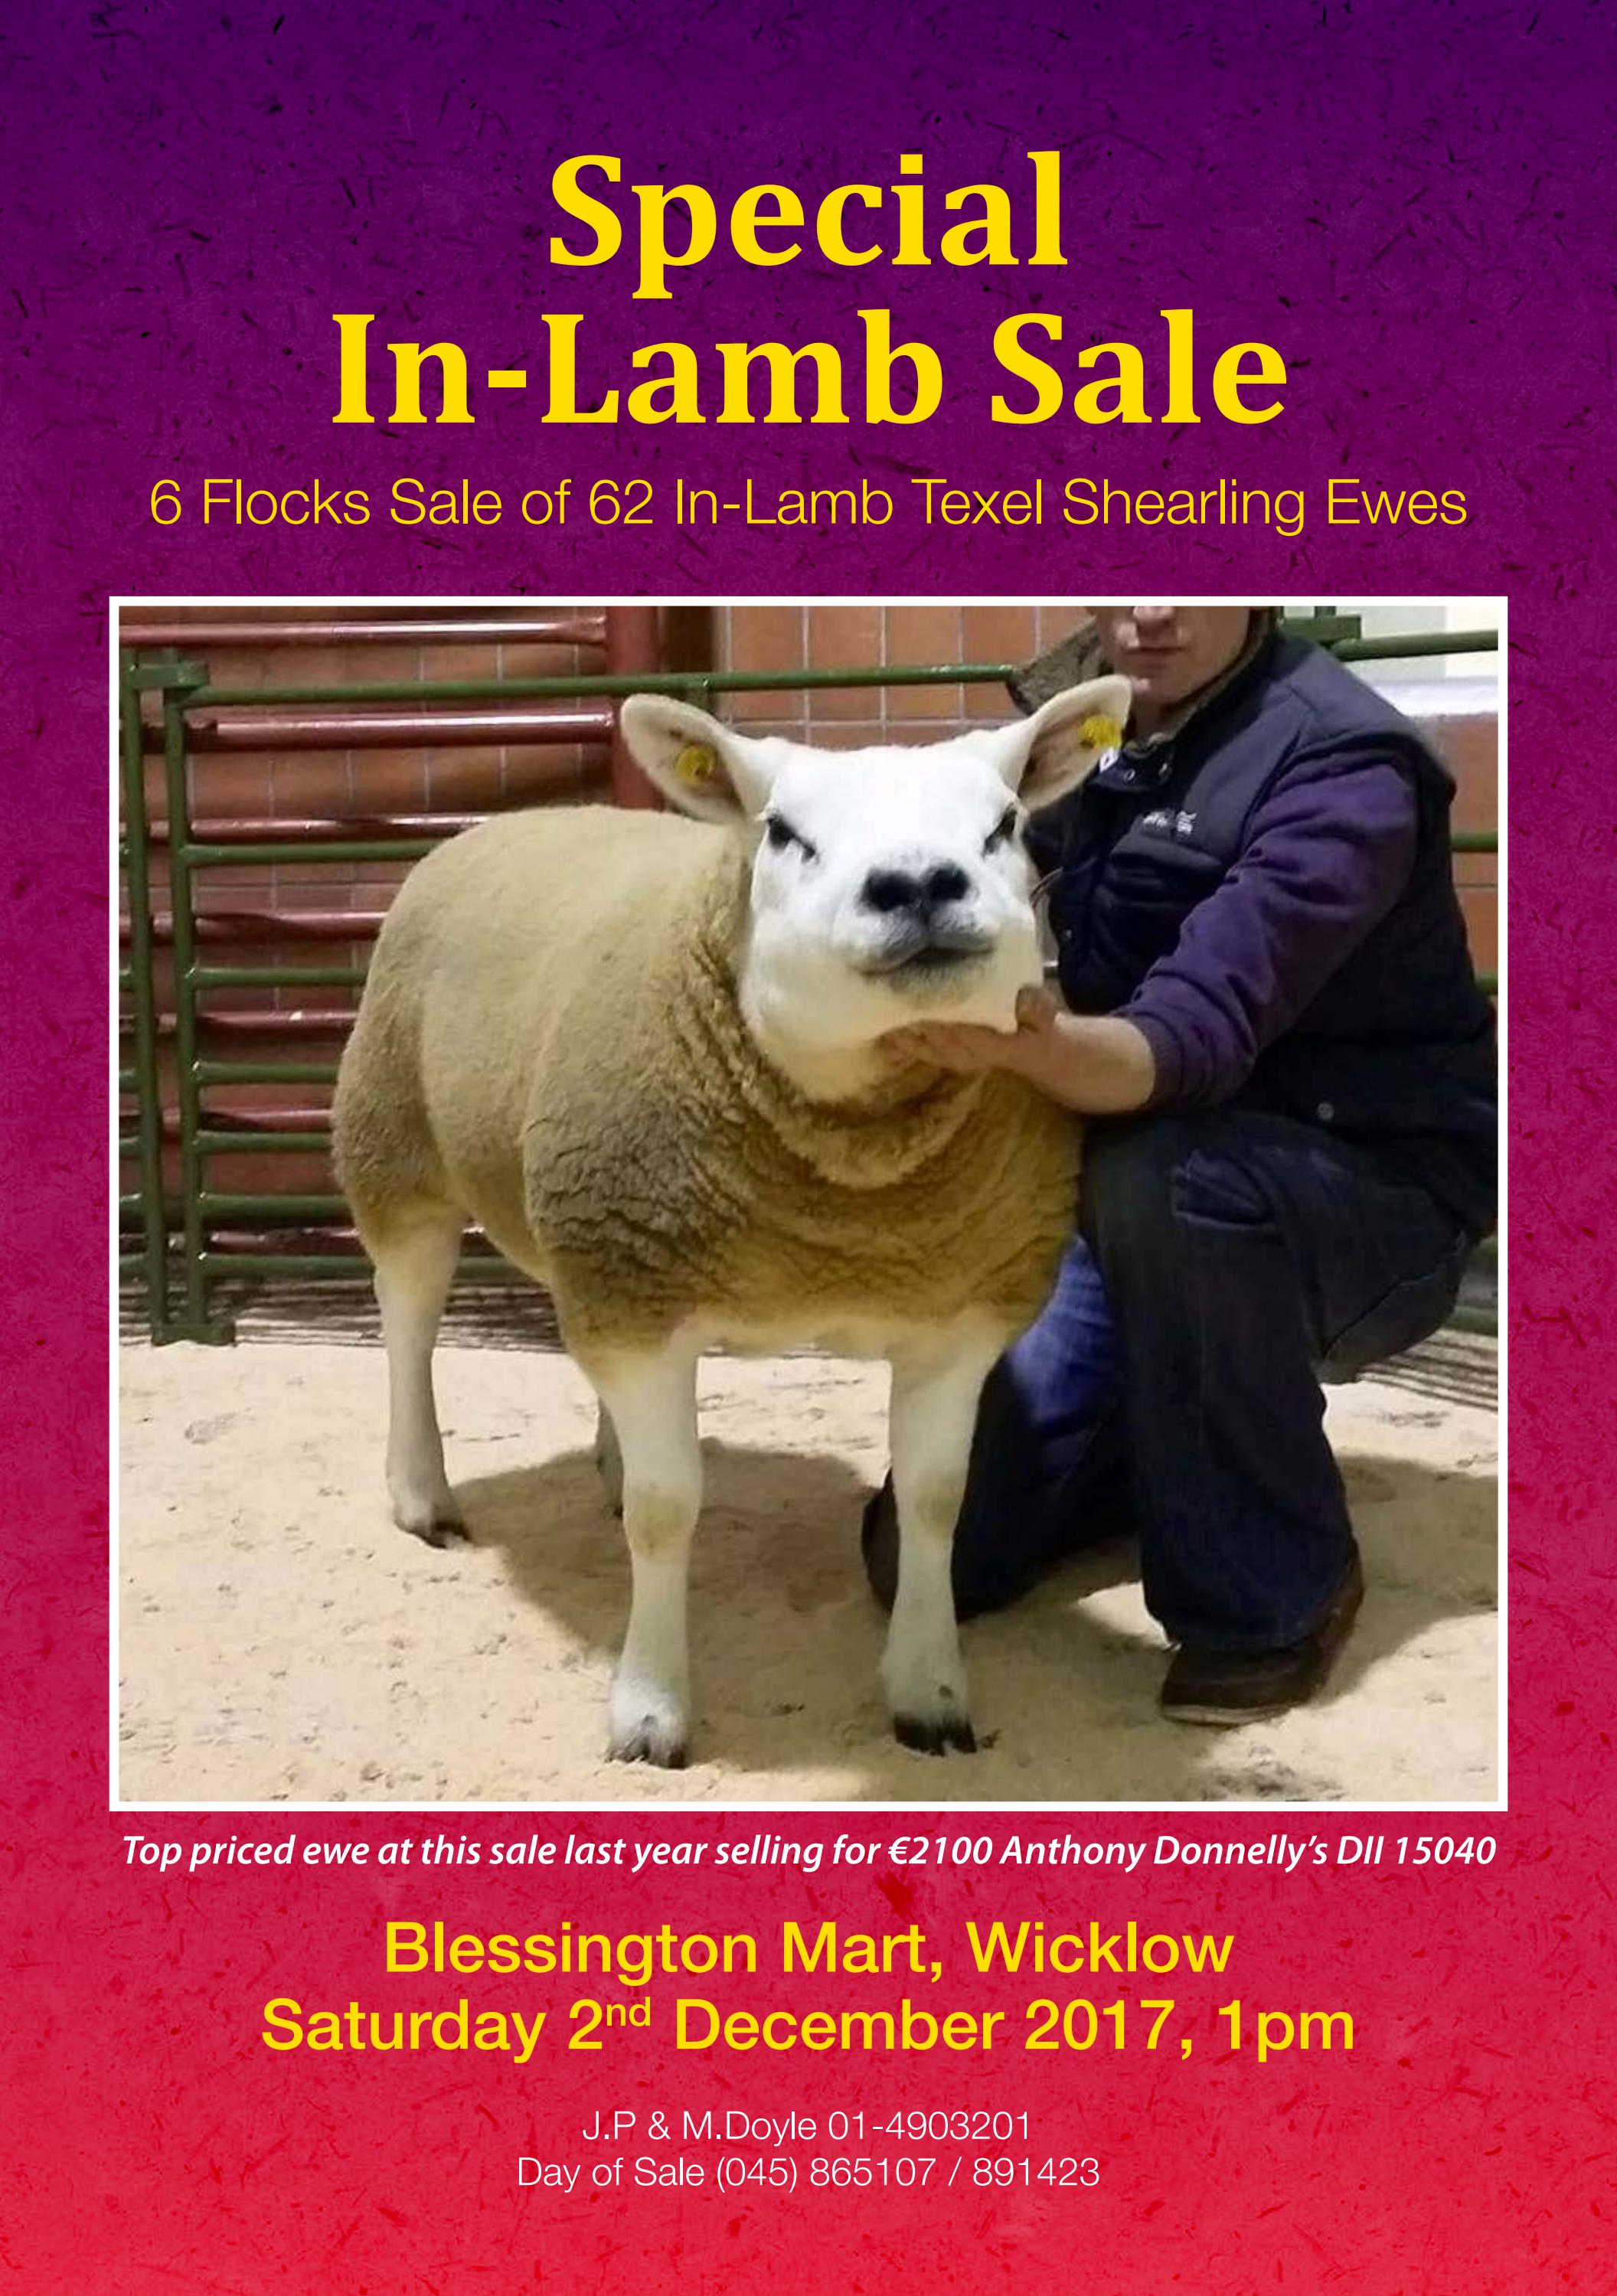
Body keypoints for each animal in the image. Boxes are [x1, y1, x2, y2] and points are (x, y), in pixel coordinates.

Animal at [331, 673, 1130, 1769]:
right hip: (399, 1147)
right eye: (784, 832)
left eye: (1004, 824)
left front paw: (928, 1691)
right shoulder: (632, 1286)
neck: (849, 1183)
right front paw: (650, 1710)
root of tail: (524, 816)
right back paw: (423, 1494)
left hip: (596, 1242)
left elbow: (935, 1503)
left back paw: (606, 1458)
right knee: (408, 1321)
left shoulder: (958, 1312)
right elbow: (669, 1513)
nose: (920, 884)